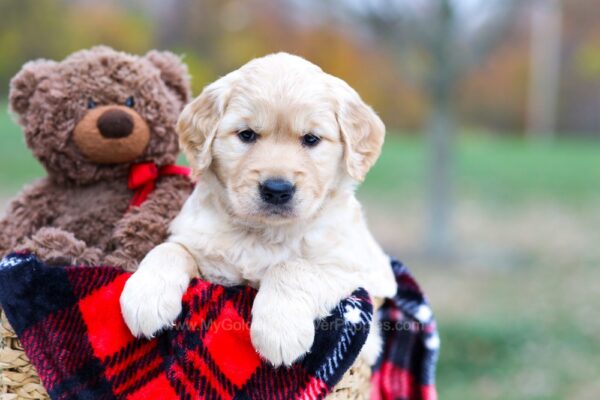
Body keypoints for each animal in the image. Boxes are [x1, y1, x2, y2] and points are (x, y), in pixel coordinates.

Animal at [119, 52, 396, 366]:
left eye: (311, 139)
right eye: (247, 135)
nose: (276, 189)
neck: (263, 233)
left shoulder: (355, 271)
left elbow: (292, 266)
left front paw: (280, 330)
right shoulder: (197, 245)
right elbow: (169, 249)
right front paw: (144, 297)